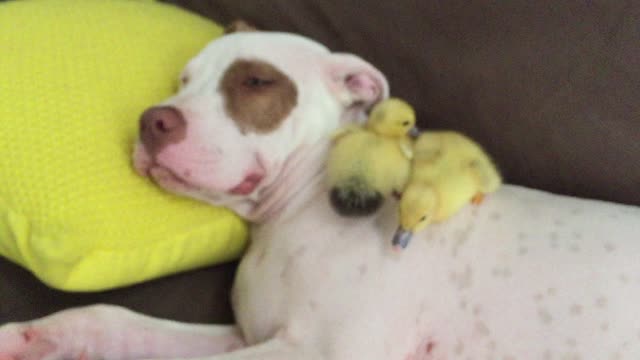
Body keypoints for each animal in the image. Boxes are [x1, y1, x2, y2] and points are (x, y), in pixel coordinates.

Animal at [1, 26, 640, 358]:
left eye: (257, 81)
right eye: (184, 80)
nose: (152, 121)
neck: (298, 207)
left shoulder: (321, 349)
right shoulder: (251, 334)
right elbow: (115, 320)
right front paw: (32, 337)